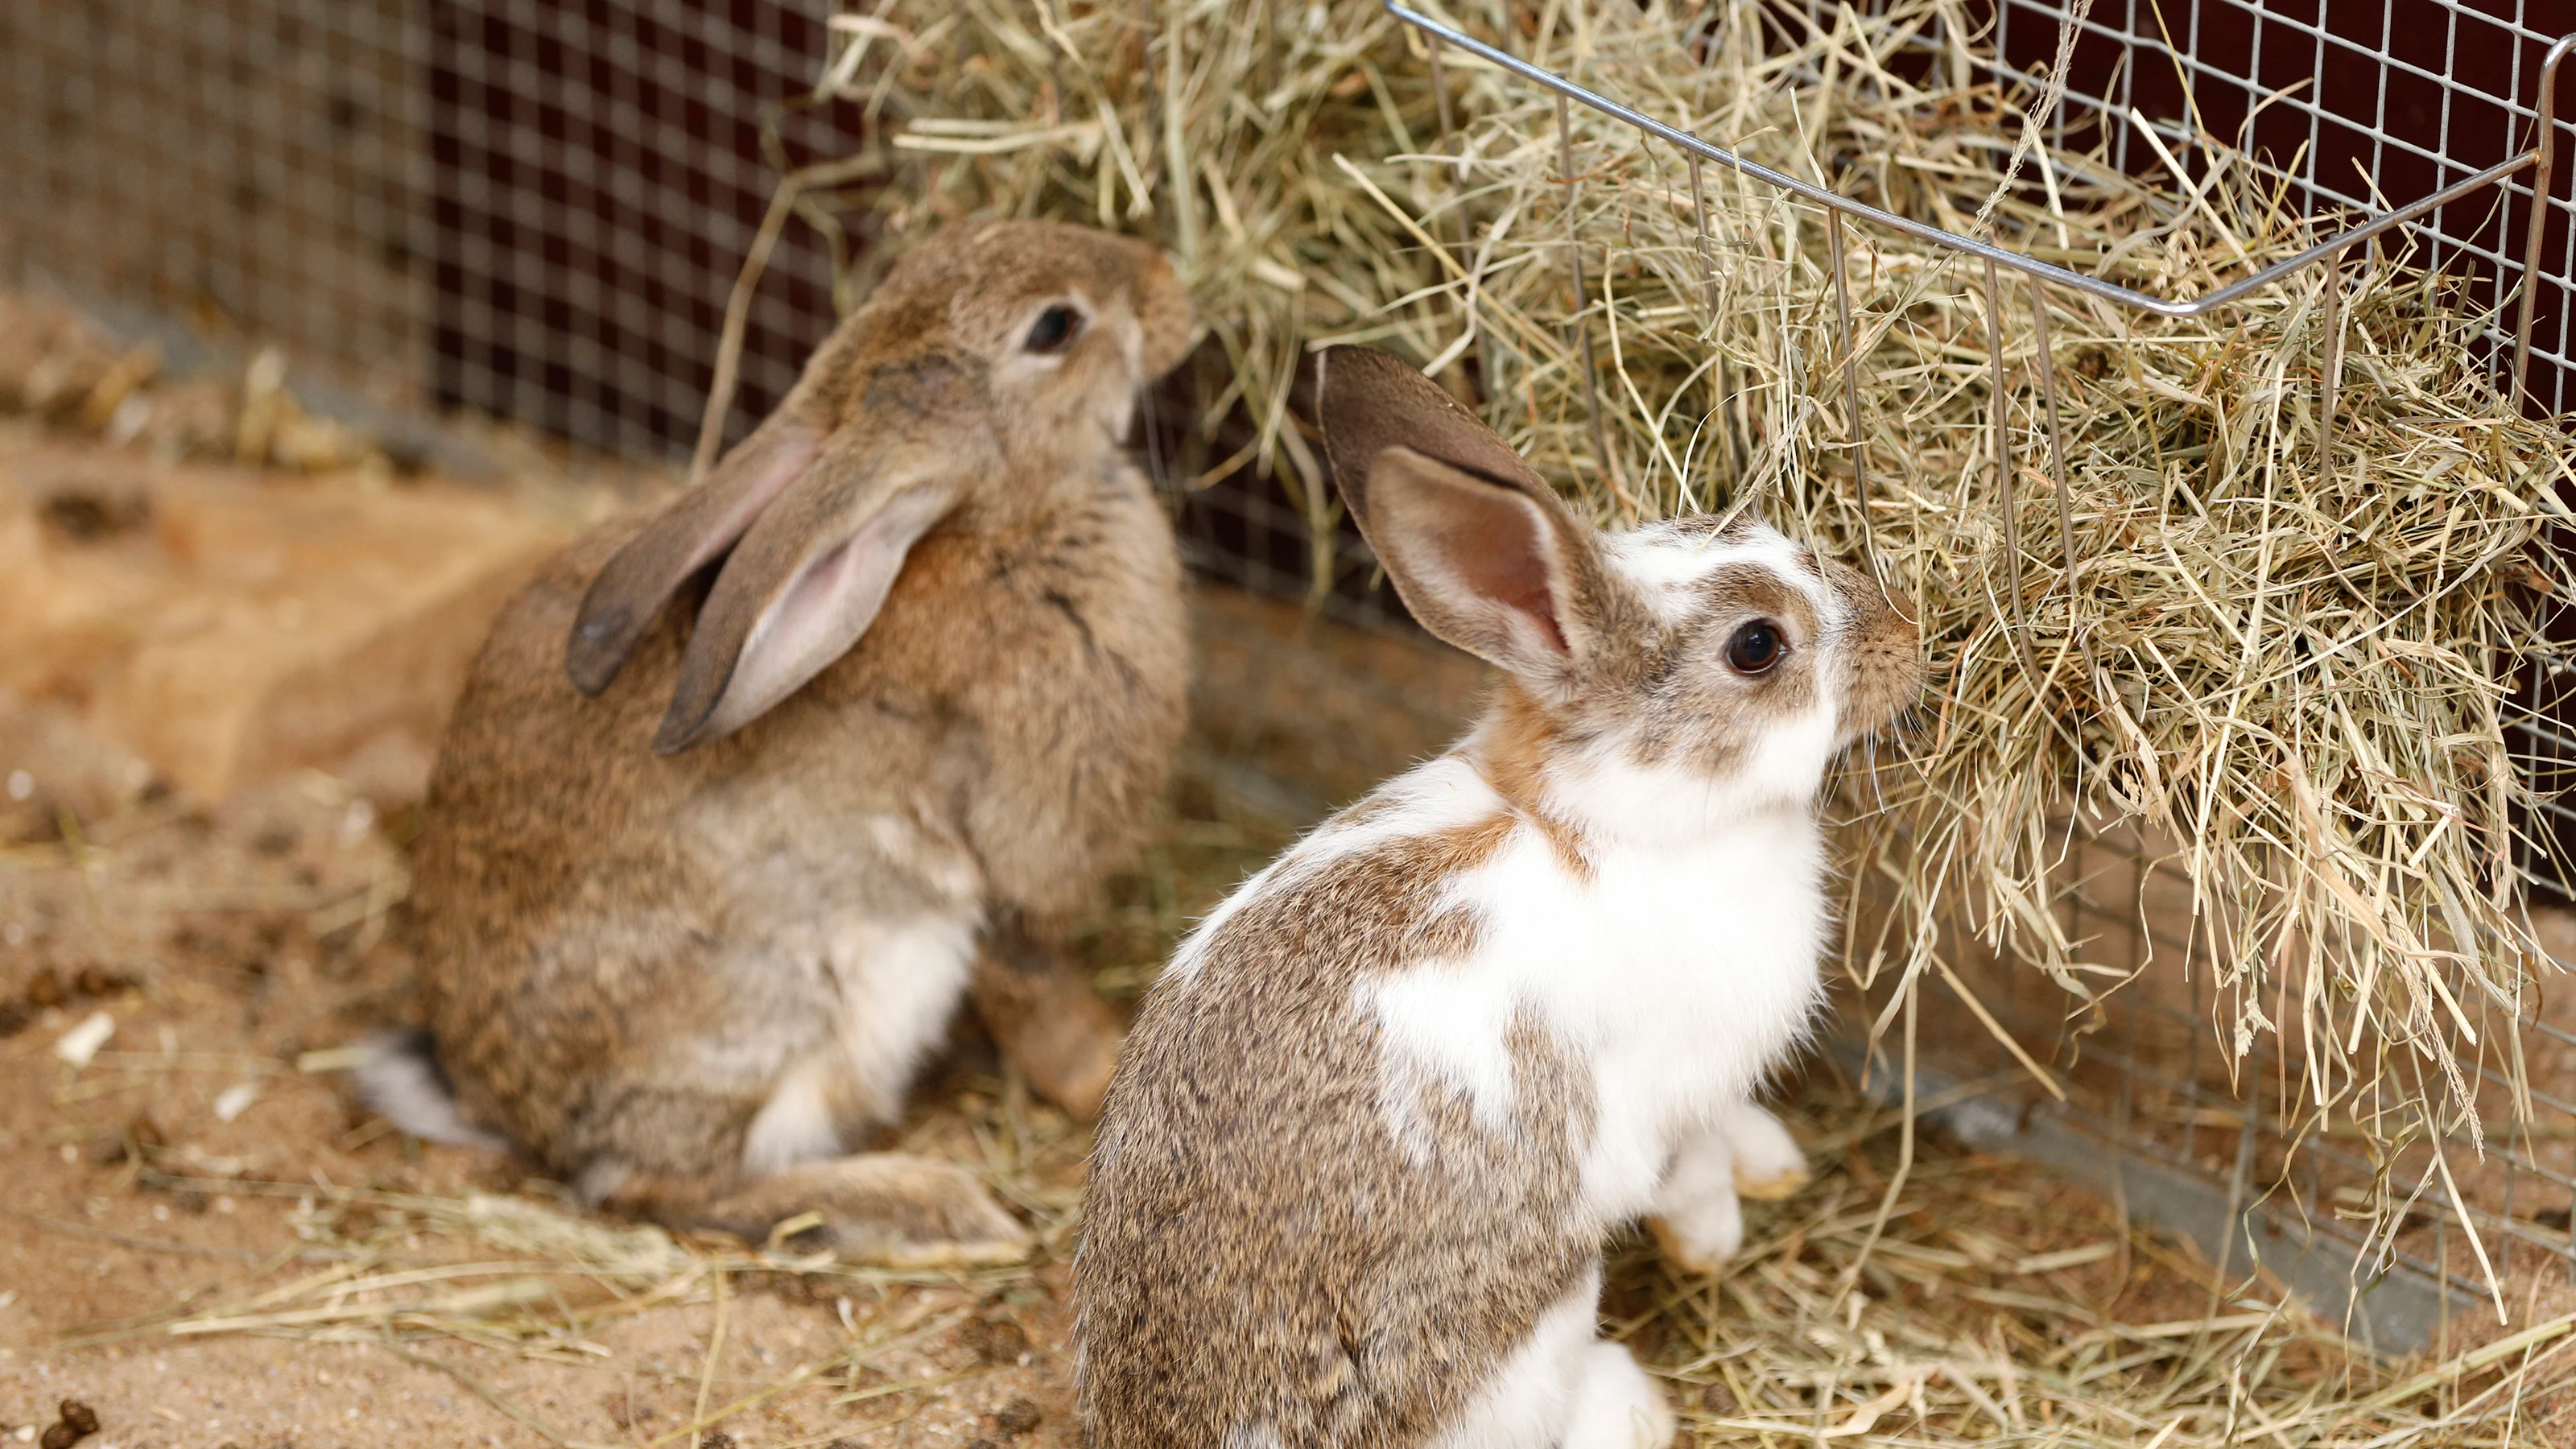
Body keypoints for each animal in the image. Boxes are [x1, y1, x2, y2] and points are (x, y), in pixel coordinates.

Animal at [363, 217, 1195, 1263]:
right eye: (1055, 327)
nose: (1168, 283)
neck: (993, 529)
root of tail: (501, 1107)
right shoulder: (1014, 853)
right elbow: (1037, 989)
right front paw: (1097, 1080)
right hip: (767, 1008)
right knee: (654, 1187)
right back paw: (929, 1204)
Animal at [1066, 342, 1916, 1433]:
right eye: (1756, 646)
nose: (1909, 637)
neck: (1615, 823)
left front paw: (1769, 1164)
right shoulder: (1656, 1099)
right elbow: (1680, 1169)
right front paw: (1712, 1240)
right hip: (1531, 1328)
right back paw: (1633, 1407)